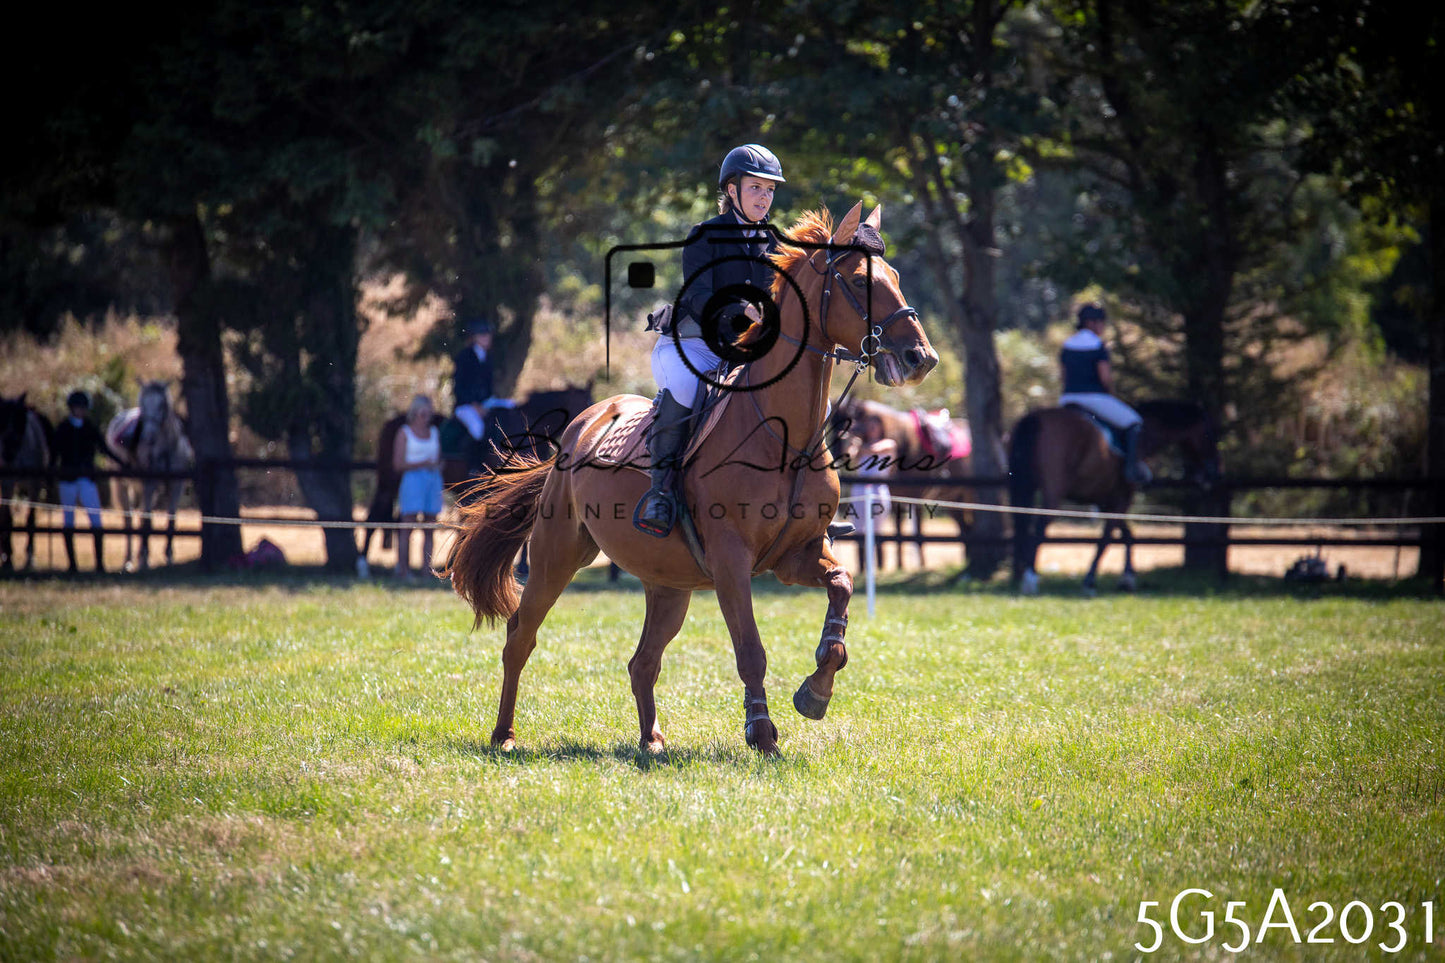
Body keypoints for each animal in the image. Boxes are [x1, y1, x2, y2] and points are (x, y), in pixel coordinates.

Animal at [0, 393, 54, 572]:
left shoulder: (34, 485)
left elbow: (30, 518)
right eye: (2, 419)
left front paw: (29, 558)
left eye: (20, 421)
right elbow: (7, 517)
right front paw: (8, 557)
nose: (8, 455)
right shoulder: (7, 483)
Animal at [105, 380, 195, 571]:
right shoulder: (150, 483)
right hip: (120, 483)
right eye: (143, 404)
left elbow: (171, 518)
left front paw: (169, 556)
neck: (167, 447)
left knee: (139, 515)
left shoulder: (176, 485)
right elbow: (148, 521)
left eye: (162, 404)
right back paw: (129, 559)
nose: (149, 435)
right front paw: (144, 558)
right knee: (128, 518)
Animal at [442, 202, 939, 756]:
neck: (784, 435)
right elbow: (750, 650)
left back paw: (651, 741)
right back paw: (504, 735)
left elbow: (843, 586)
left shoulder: (797, 554)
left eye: (895, 276)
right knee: (520, 638)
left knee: (642, 662)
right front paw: (761, 733)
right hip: (557, 555)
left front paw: (815, 691)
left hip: (668, 584)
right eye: (857, 281)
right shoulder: (730, 562)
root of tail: (579, 428)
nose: (921, 358)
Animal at [832, 397, 974, 573]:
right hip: (953, 498)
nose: (836, 454)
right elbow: (898, 532)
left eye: (848, 423)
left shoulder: (916, 496)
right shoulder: (896, 498)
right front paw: (899, 565)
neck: (904, 444)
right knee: (965, 528)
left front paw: (920, 565)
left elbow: (917, 533)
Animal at [1008, 398, 1220, 595]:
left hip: (1025, 485)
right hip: (1054, 490)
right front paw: (1090, 582)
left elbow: (1127, 533)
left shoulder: (1106, 502)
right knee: (1041, 525)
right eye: (1210, 435)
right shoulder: (1122, 498)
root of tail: (1035, 418)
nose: (1214, 473)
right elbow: (1107, 538)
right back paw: (1030, 579)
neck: (1145, 437)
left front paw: (1127, 579)